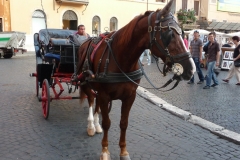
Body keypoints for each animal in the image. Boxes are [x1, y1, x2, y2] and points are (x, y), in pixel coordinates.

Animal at [77, 0, 195, 159]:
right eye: (169, 34)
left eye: (182, 33)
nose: (191, 69)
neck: (122, 58)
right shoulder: (104, 95)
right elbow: (107, 122)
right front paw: (105, 151)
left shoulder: (129, 96)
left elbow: (124, 123)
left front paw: (123, 151)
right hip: (85, 82)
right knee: (90, 99)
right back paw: (91, 125)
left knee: (95, 103)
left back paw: (96, 125)